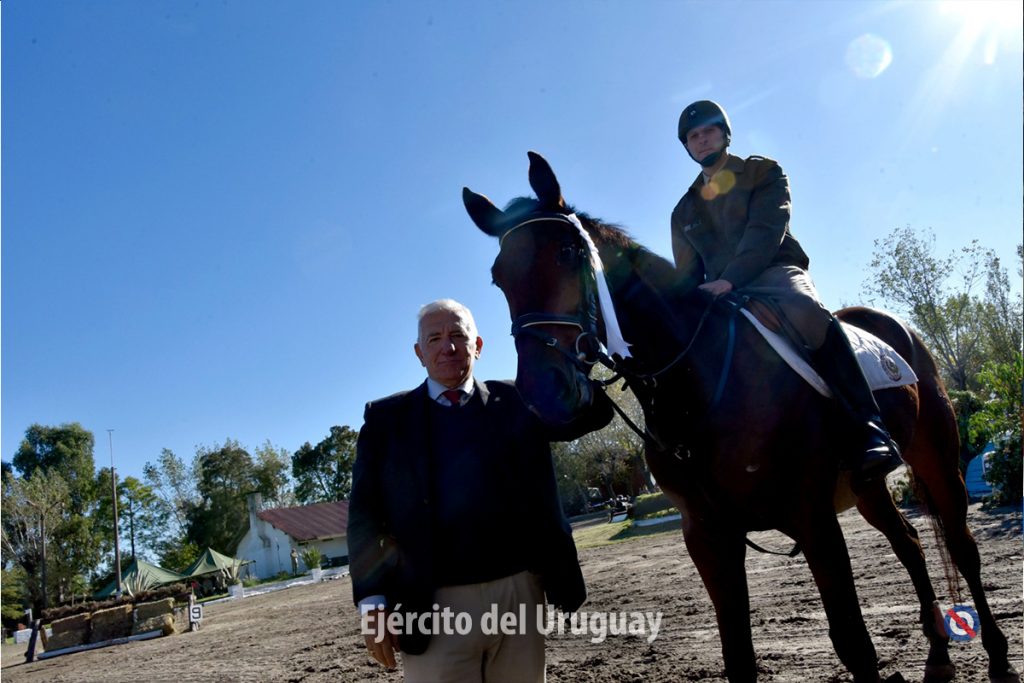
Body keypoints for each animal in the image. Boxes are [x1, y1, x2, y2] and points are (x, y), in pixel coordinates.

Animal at [462, 151, 1019, 683]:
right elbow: (739, 657)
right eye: (497, 278)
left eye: (569, 253)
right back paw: (939, 656)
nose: (544, 396)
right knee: (910, 544)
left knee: (962, 547)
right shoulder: (709, 539)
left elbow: (854, 645)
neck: (697, 382)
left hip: (935, 458)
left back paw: (998, 658)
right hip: (868, 488)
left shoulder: (812, 519)